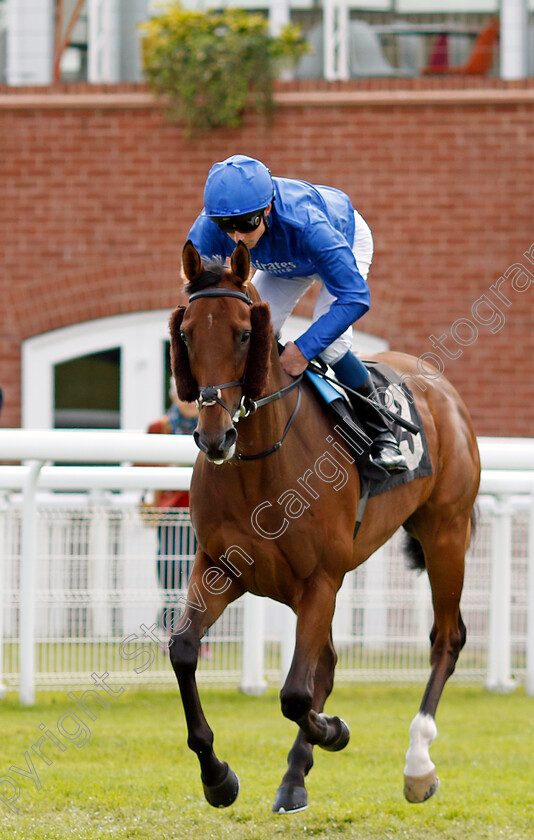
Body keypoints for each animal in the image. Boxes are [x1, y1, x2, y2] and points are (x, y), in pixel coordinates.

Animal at [168, 241, 482, 812]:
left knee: (447, 638)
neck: (261, 464)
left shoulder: (319, 581)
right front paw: (217, 776)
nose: (214, 436)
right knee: (331, 662)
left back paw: (417, 763)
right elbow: (183, 652)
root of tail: (440, 387)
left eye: (244, 334)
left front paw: (334, 730)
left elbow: (295, 693)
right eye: (186, 335)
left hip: (445, 531)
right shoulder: (221, 567)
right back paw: (295, 776)